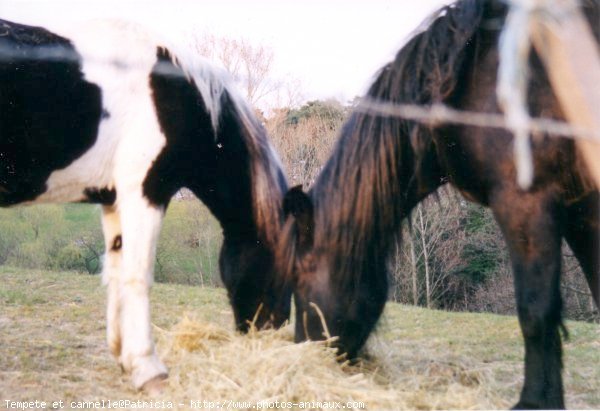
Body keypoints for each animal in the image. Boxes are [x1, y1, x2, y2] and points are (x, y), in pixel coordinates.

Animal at [0, 19, 290, 392]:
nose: (270, 333)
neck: (178, 95)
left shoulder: (112, 199)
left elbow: (116, 271)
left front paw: (124, 357)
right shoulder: (146, 191)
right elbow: (138, 275)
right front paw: (148, 369)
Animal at [280, 0, 600, 408]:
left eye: (299, 278)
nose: (302, 351)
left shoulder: (526, 203)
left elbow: (535, 310)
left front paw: (535, 401)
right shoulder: (582, 210)